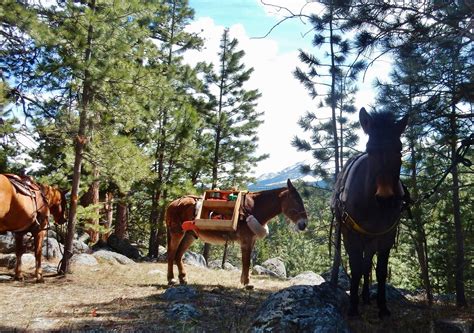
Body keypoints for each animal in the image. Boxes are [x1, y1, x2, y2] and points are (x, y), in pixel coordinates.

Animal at [166, 179, 308, 286]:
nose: (304, 224)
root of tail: (173, 203)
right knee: (172, 254)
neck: (253, 208)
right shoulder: (246, 240)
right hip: (177, 232)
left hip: (189, 235)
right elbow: (246, 262)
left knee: (178, 255)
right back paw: (171, 279)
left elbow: (246, 261)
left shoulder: (251, 241)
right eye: (296, 200)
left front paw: (243, 280)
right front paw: (247, 283)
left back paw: (183, 278)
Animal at [334, 108, 408, 316]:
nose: (385, 198)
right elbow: (355, 268)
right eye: (370, 150)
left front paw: (382, 307)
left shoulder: (386, 236)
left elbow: (380, 271)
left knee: (367, 264)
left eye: (399, 150)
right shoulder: (351, 235)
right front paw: (353, 307)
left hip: (371, 240)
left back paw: (366, 296)